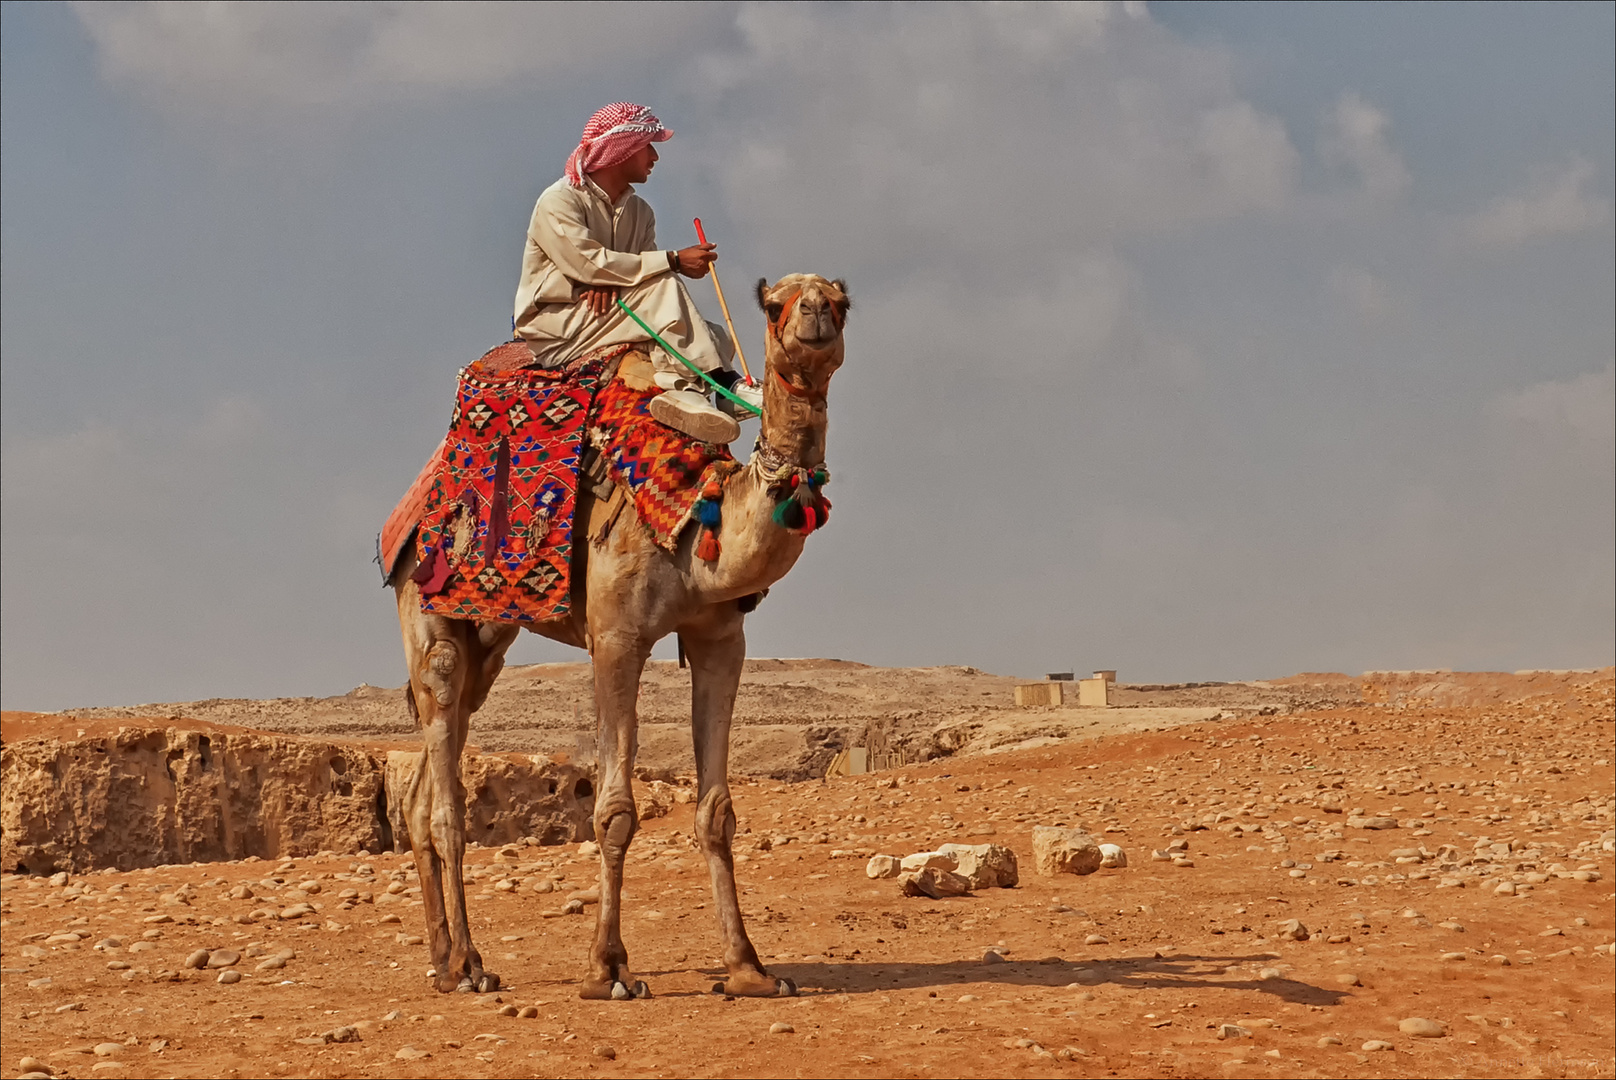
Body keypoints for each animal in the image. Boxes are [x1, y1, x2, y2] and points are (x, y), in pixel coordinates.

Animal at [387, 274, 846, 1002]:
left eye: (842, 300)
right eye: (775, 304)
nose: (816, 316)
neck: (696, 520)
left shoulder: (722, 639)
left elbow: (716, 812)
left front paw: (748, 968)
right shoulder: (617, 635)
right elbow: (614, 812)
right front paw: (607, 969)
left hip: (488, 637)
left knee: (421, 790)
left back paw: (444, 960)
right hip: (426, 607)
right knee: (445, 793)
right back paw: (473, 965)